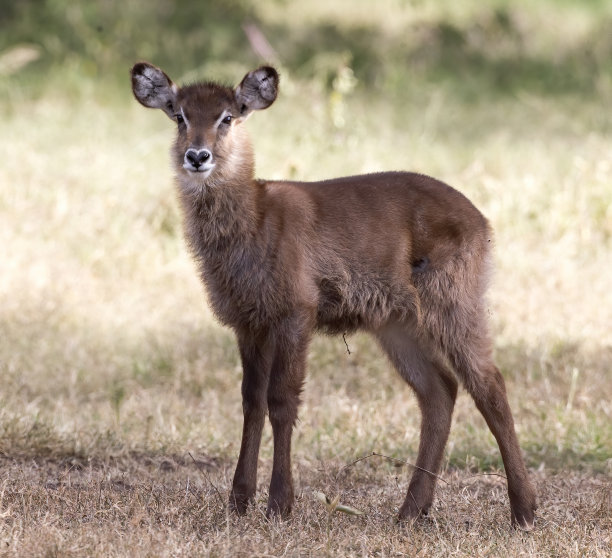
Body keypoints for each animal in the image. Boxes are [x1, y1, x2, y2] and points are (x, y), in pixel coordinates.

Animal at [130, 61, 536, 528]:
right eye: (179, 115)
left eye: (227, 117)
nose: (197, 156)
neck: (254, 222)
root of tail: (483, 222)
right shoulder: (248, 321)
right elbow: (250, 401)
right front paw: (238, 501)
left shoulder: (296, 311)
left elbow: (281, 400)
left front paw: (280, 504)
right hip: (396, 323)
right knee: (440, 390)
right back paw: (410, 511)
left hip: (453, 300)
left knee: (489, 384)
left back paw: (524, 510)